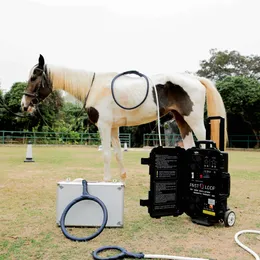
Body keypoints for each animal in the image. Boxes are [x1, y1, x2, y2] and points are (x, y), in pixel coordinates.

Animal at [21, 54, 226, 183]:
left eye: (33, 77)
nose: (24, 104)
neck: (94, 87)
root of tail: (196, 80)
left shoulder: (104, 126)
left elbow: (105, 154)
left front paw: (105, 181)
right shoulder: (113, 127)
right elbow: (118, 154)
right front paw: (122, 179)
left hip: (195, 121)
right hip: (181, 120)